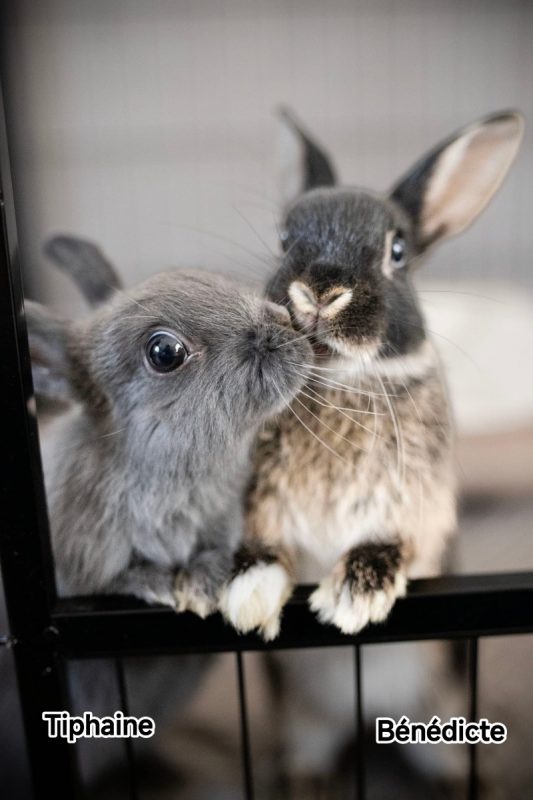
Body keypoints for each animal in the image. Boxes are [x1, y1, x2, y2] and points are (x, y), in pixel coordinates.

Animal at [219, 110, 524, 793]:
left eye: (398, 251)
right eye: (284, 238)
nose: (318, 292)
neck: (338, 379)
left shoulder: (419, 510)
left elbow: (395, 541)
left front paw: (352, 598)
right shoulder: (258, 504)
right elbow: (260, 545)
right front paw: (247, 596)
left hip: (444, 706)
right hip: (304, 721)